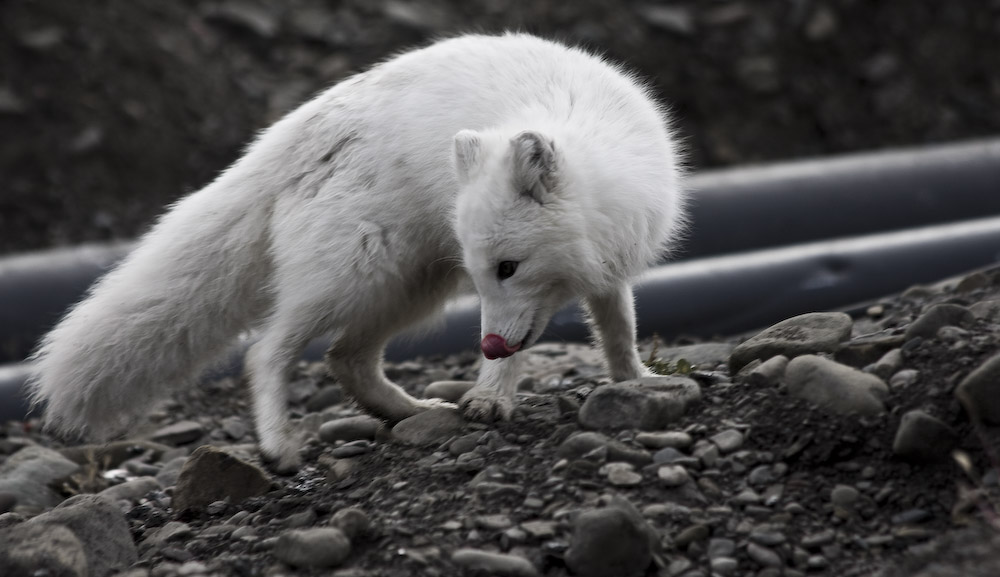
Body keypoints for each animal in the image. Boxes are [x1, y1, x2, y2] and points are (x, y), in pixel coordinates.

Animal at [27, 33, 684, 470]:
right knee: (267, 350)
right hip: (355, 275)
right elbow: (525, 356)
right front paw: (490, 398)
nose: (489, 344)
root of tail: (290, 132)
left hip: (410, 287)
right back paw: (279, 444)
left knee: (345, 359)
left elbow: (619, 328)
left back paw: (405, 411)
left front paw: (637, 380)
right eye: (485, 275)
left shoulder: (609, 265)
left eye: (507, 268)